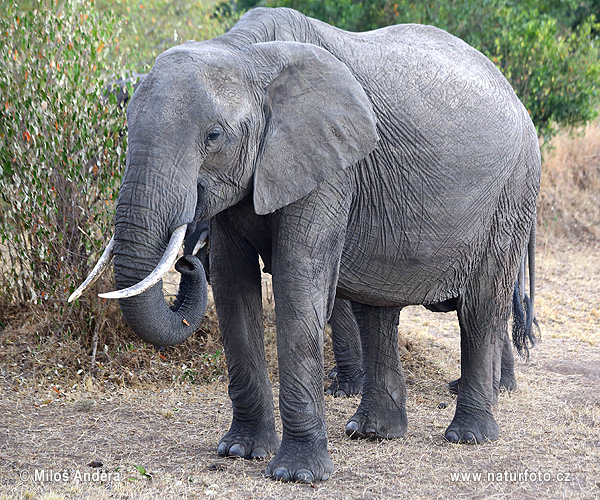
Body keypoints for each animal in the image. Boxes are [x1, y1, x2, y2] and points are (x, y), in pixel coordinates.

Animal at [70, 6, 540, 484]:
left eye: (214, 136)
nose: (186, 260)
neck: (243, 52)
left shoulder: (330, 162)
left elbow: (298, 281)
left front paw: (296, 474)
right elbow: (232, 286)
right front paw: (239, 451)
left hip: (512, 195)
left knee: (481, 307)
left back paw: (469, 435)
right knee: (377, 310)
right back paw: (372, 432)